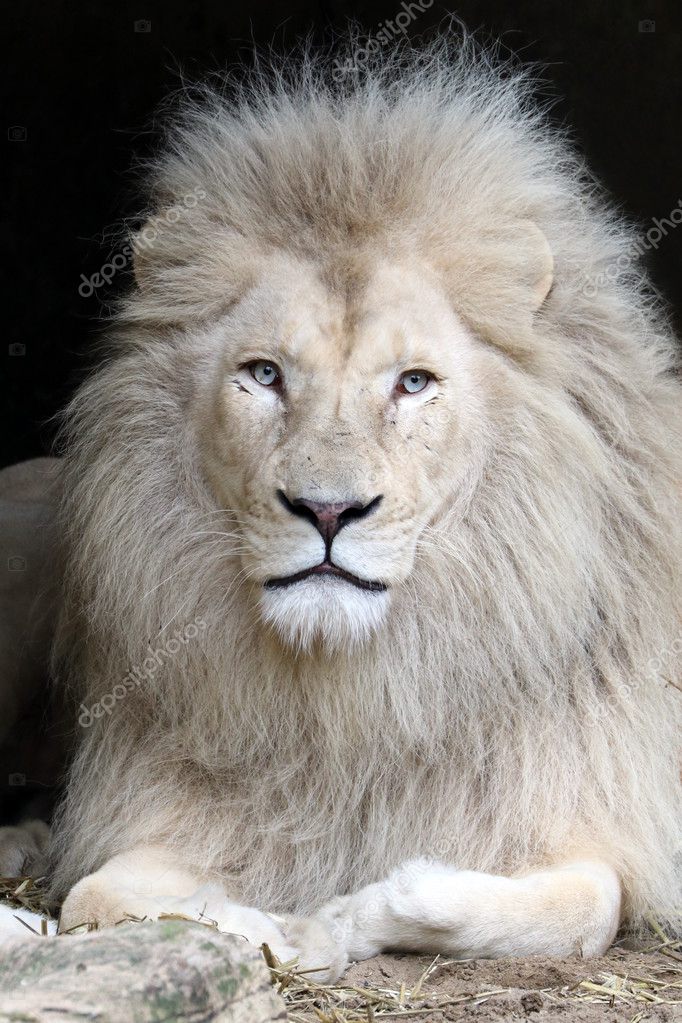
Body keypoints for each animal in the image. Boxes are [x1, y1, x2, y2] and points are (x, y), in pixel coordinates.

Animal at [6, 41, 681, 976]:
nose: (327, 511)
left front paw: (341, 916)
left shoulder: (594, 811)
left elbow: (584, 907)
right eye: (264, 374)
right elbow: (96, 896)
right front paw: (277, 927)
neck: (355, 703)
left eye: (414, 383)